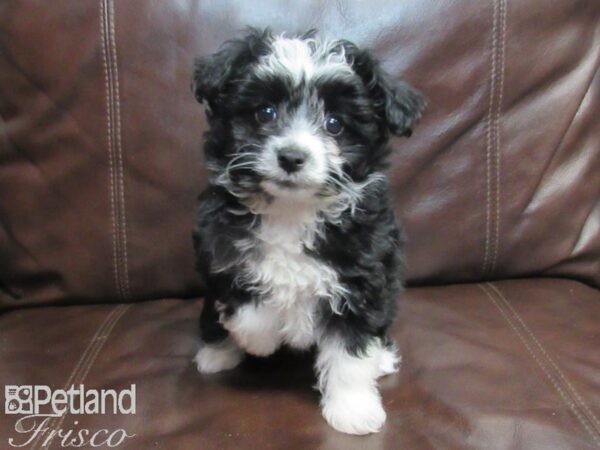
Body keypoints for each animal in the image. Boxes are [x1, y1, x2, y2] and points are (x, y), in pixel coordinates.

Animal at [191, 29, 422, 436]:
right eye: (265, 112)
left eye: (335, 124)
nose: (292, 157)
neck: (291, 211)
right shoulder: (221, 252)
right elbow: (247, 306)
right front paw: (262, 341)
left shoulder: (363, 279)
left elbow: (349, 352)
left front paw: (352, 410)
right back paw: (217, 354)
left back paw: (380, 359)